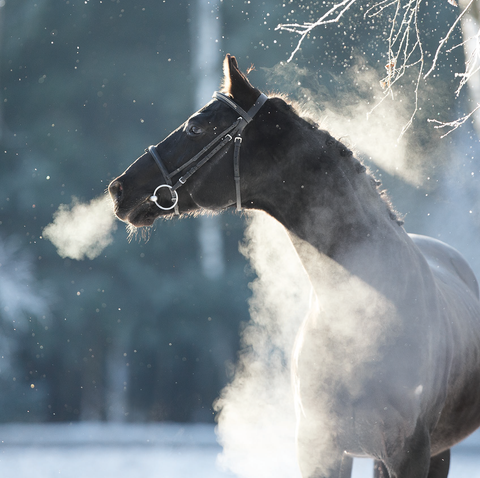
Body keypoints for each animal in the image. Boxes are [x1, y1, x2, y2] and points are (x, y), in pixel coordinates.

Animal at [109, 55, 480, 478]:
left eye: (195, 127)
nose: (119, 188)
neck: (360, 314)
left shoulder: (410, 453)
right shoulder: (319, 449)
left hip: (435, 452)